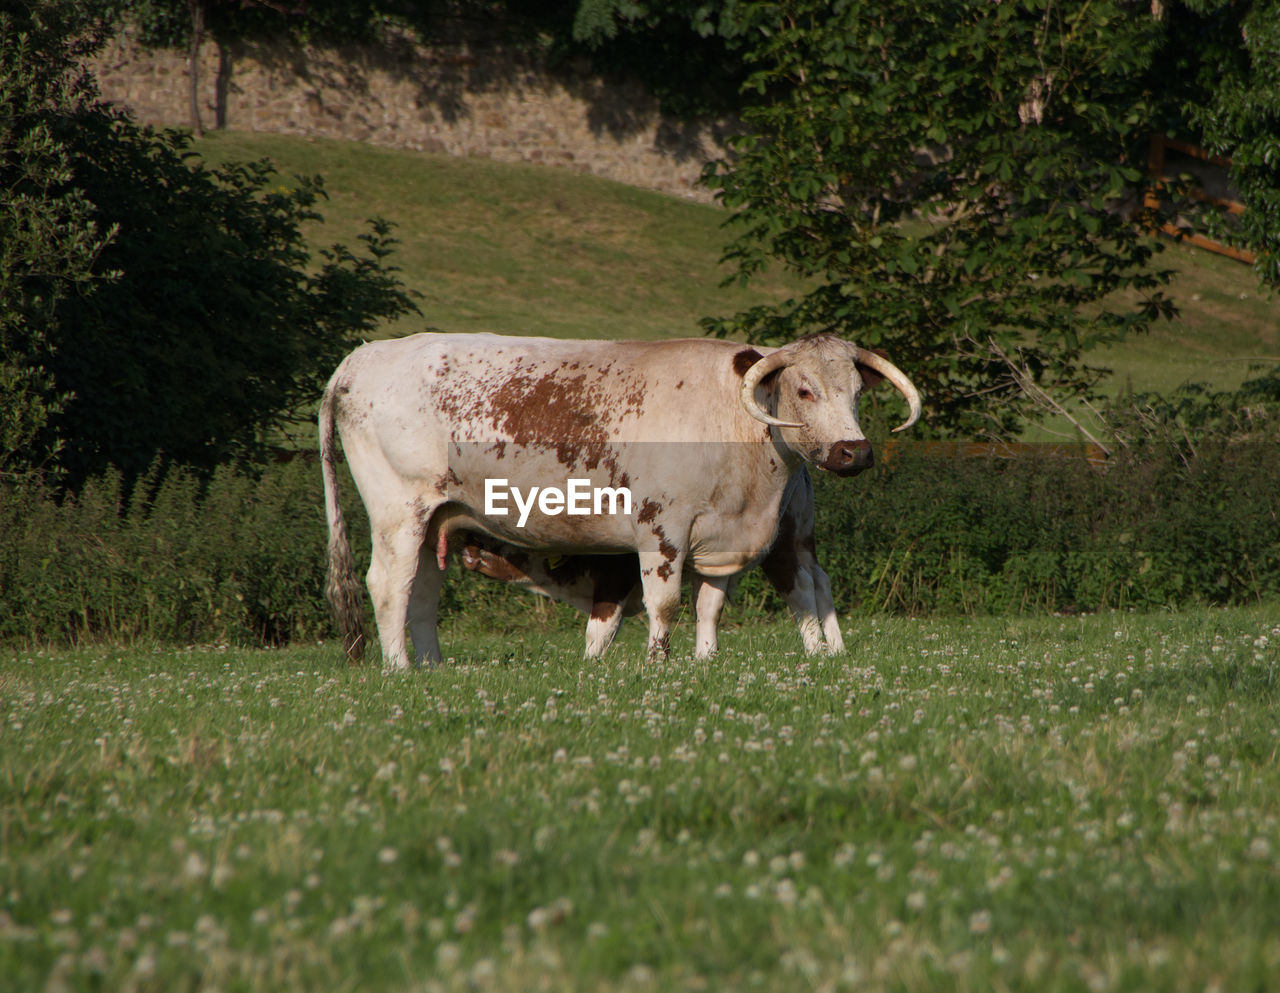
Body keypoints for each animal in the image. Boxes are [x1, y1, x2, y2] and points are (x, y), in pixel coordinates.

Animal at [455, 468, 844, 660]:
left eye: (499, 538)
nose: (467, 549)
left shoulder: (614, 577)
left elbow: (598, 630)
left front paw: (589, 667)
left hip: (781, 547)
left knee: (799, 588)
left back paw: (816, 650)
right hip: (803, 538)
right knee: (820, 580)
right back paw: (836, 648)